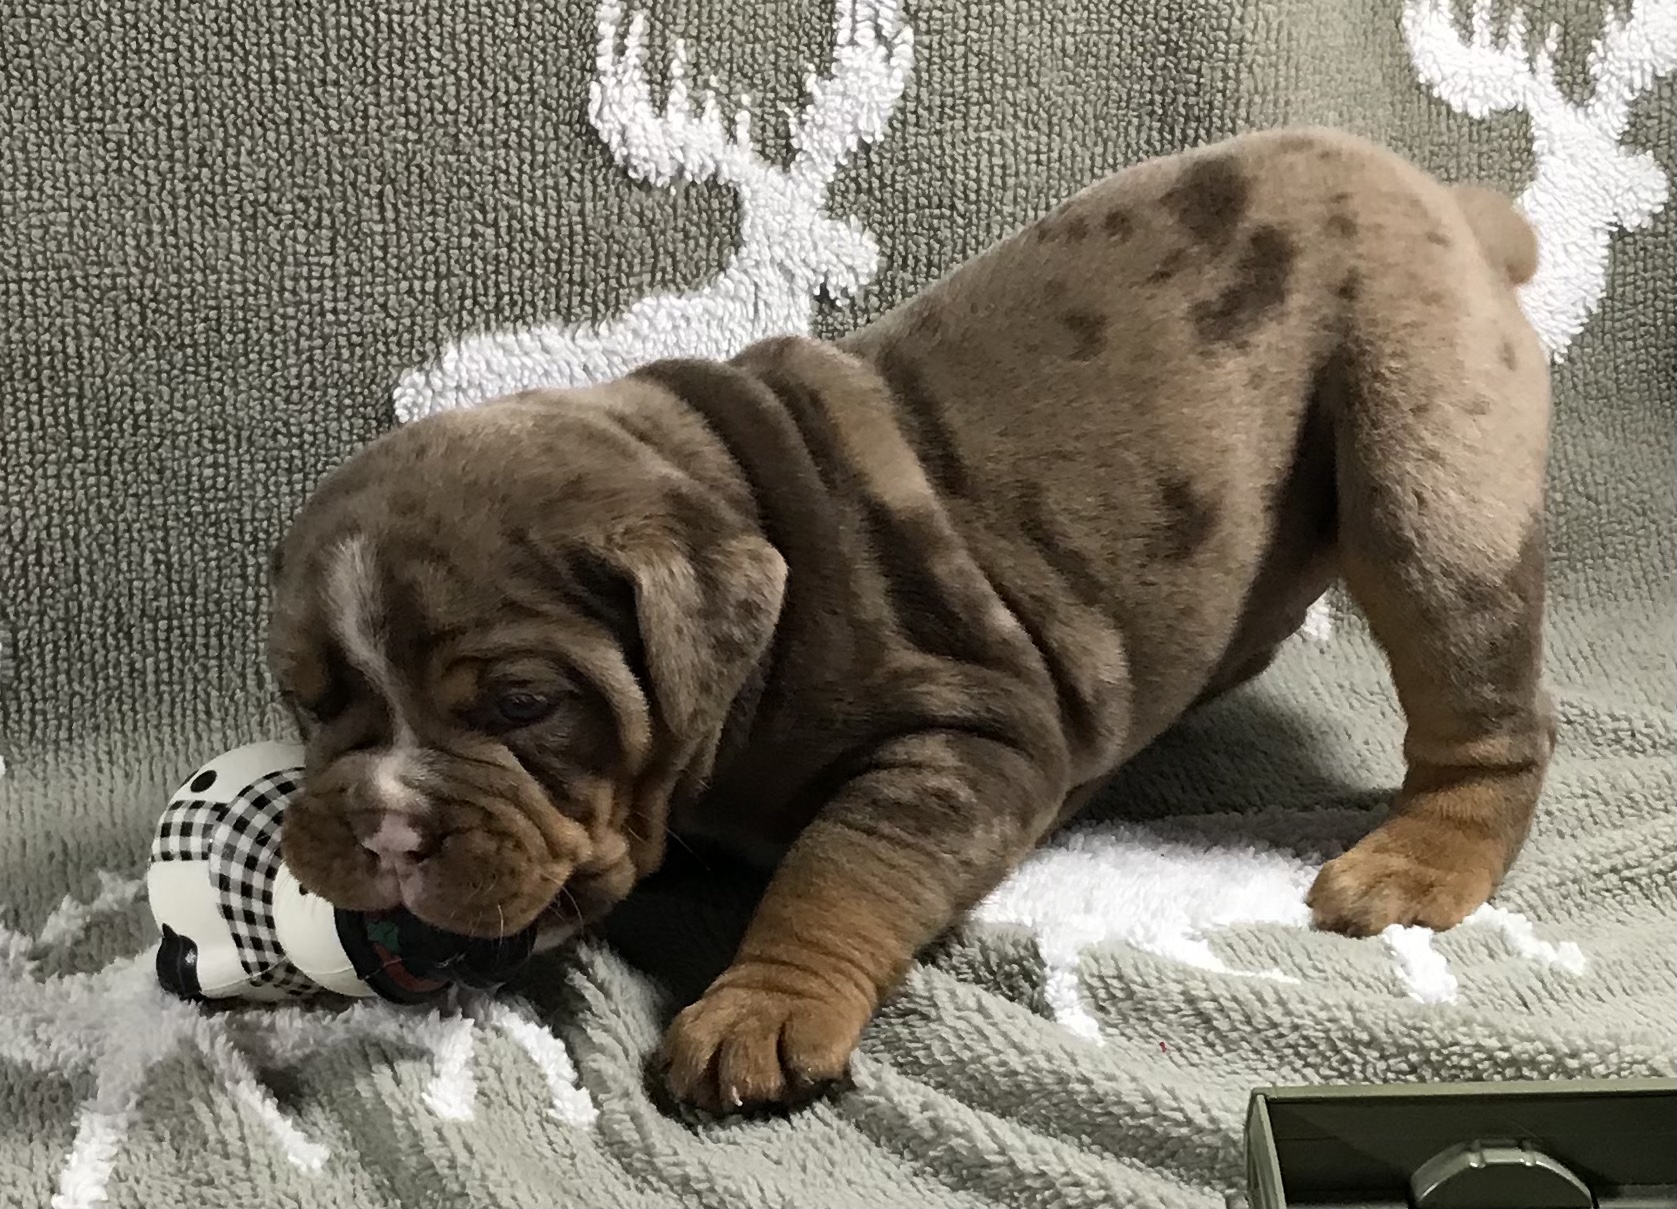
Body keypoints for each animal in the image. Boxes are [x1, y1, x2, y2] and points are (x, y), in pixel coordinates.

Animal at [267, 126, 1554, 1113]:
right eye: (307, 701)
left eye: (525, 705)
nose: (378, 824)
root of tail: (1453, 203)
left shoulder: (963, 740)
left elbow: (842, 865)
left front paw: (765, 1008)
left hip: (1426, 478)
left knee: (1484, 705)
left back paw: (1418, 867)